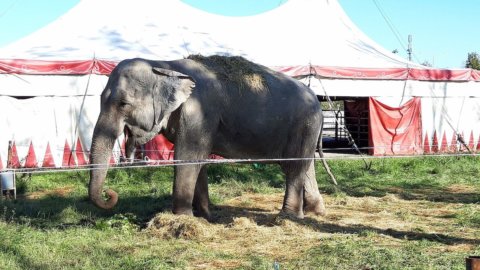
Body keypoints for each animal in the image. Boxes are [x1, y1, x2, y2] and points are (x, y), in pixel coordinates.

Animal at [89, 54, 334, 219]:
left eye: (123, 103)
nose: (111, 194)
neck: (166, 65)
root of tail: (318, 102)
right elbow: (199, 159)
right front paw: (205, 215)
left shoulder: (199, 112)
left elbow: (188, 156)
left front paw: (182, 217)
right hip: (306, 130)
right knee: (304, 167)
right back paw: (315, 211)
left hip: (304, 125)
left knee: (295, 166)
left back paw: (287, 217)